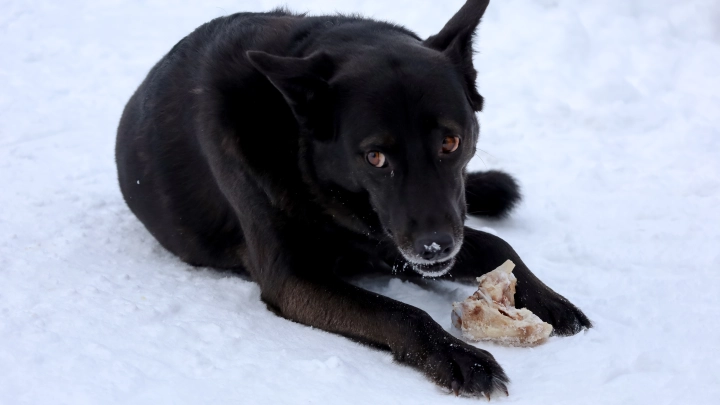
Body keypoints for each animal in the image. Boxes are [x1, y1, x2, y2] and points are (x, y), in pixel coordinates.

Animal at [115, 0, 588, 396]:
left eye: (450, 142)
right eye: (375, 157)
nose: (434, 246)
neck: (294, 139)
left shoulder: (405, 235)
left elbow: (496, 244)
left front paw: (548, 300)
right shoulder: (295, 279)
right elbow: (398, 312)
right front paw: (458, 356)